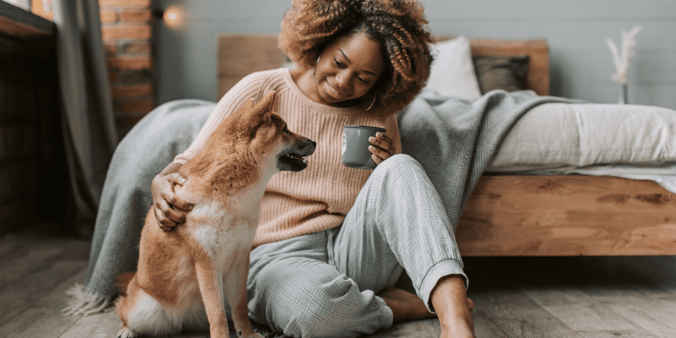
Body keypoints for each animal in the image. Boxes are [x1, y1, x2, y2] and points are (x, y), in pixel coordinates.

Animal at [116, 92, 316, 338]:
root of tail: (181, 322)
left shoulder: (240, 258)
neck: (232, 197)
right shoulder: (207, 262)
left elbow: (239, 306)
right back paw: (127, 330)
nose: (314, 142)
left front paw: (247, 333)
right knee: (123, 308)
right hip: (144, 308)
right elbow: (217, 313)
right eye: (286, 129)